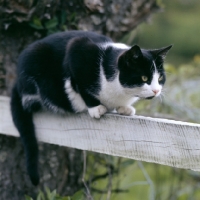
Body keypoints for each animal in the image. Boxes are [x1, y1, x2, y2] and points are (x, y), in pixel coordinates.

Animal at [10, 30, 172, 185]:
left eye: (160, 78)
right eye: (144, 78)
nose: (156, 91)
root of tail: (17, 82)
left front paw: (124, 108)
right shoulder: (77, 50)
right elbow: (80, 85)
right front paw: (96, 108)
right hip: (35, 57)